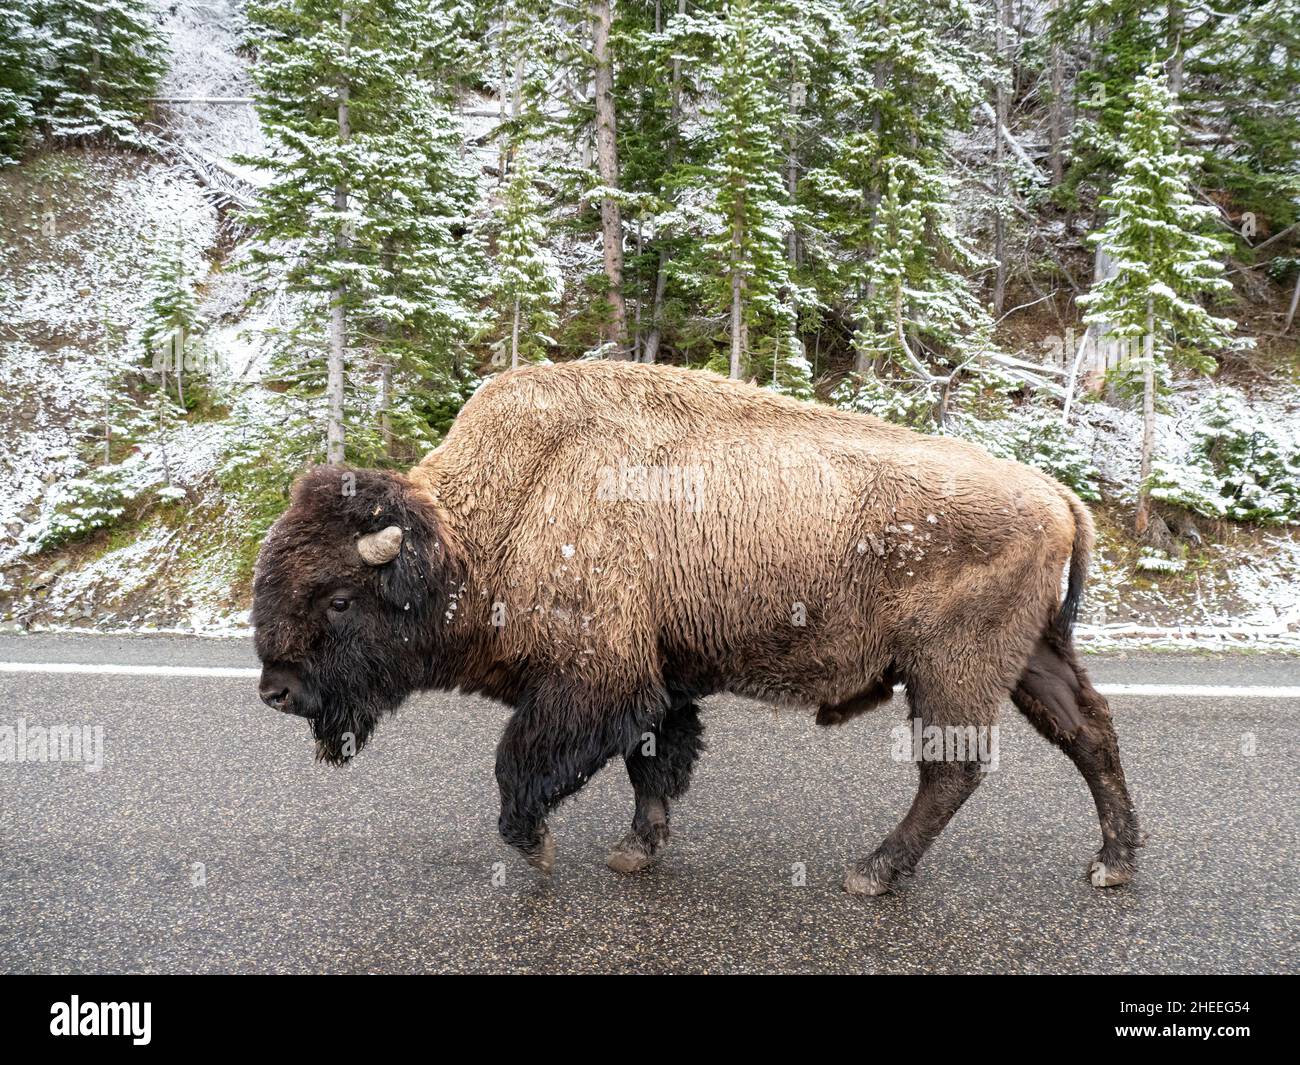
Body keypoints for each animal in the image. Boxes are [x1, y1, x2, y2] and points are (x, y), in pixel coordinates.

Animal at [250, 361, 1138, 894]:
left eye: (337, 599)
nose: (276, 690)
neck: (486, 525)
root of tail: (1054, 493)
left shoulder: (594, 678)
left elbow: (521, 762)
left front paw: (534, 846)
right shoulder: (660, 679)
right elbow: (653, 763)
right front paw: (636, 851)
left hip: (952, 667)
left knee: (951, 768)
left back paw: (873, 872)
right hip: (1031, 656)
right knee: (1087, 731)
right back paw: (1114, 862)